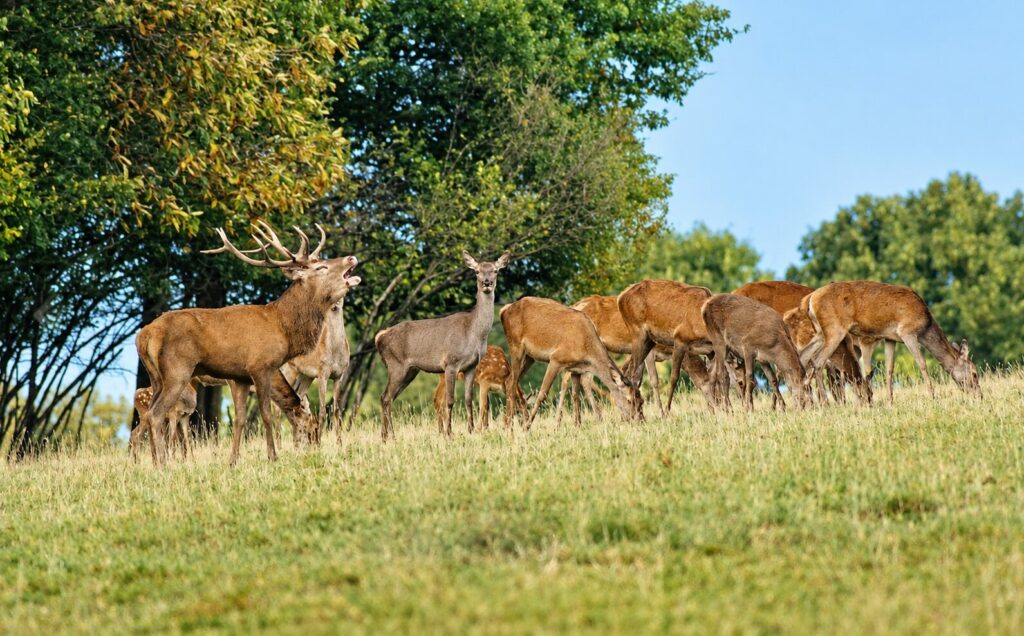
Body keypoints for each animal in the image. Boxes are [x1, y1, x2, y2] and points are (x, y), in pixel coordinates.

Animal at [136, 221, 361, 467]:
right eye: (321, 267)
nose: (351, 258)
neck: (282, 327)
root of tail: (144, 335)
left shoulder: (240, 377)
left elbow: (240, 419)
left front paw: (233, 460)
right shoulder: (261, 366)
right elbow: (266, 414)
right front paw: (273, 456)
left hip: (156, 377)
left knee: (148, 415)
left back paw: (156, 463)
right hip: (177, 371)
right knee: (156, 415)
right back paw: (163, 466)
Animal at [375, 251, 511, 441]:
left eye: (496, 270)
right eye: (476, 271)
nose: (487, 282)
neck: (474, 334)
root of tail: (380, 337)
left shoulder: (471, 366)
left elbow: (468, 399)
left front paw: (470, 430)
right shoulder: (451, 363)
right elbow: (450, 400)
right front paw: (449, 433)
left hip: (410, 370)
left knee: (387, 397)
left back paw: (385, 437)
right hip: (396, 365)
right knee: (386, 397)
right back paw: (391, 437)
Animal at [501, 296, 640, 427]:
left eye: (640, 400)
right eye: (630, 400)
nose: (638, 419)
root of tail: (504, 311)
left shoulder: (576, 369)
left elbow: (576, 394)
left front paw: (578, 425)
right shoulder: (556, 359)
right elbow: (542, 394)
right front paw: (527, 427)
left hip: (530, 357)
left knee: (509, 380)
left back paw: (508, 426)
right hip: (515, 346)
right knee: (512, 383)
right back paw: (510, 427)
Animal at [616, 280, 716, 416]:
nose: (715, 407)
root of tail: (620, 297)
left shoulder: (711, 351)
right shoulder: (679, 340)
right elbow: (673, 378)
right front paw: (666, 412)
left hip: (648, 341)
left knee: (629, 374)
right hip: (638, 334)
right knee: (631, 374)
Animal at [801, 280, 981, 398]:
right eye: (974, 373)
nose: (979, 395)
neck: (926, 325)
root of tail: (810, 299)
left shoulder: (890, 338)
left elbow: (889, 369)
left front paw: (890, 401)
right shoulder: (907, 331)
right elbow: (922, 364)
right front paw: (932, 396)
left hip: (820, 332)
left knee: (804, 355)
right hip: (835, 329)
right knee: (817, 361)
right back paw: (823, 401)